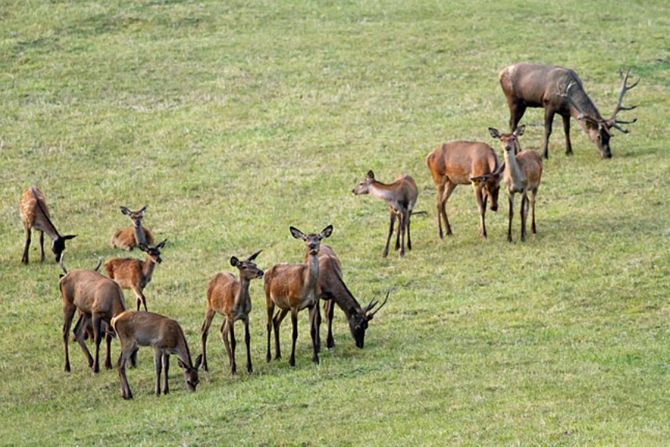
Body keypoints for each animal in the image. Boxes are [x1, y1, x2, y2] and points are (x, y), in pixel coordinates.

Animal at [266, 224, 334, 368]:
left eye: (319, 237)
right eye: (306, 238)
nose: (312, 246)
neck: (306, 285)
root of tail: (267, 270)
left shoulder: (312, 304)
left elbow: (312, 330)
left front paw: (315, 358)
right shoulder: (294, 305)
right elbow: (294, 333)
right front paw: (292, 361)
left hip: (284, 305)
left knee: (276, 320)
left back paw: (278, 355)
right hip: (269, 298)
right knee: (268, 323)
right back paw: (268, 357)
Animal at [498, 63, 640, 159]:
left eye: (610, 136)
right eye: (598, 136)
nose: (608, 154)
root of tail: (500, 73)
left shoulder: (565, 112)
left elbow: (567, 129)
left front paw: (569, 151)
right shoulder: (548, 105)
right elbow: (548, 130)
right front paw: (544, 154)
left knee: (513, 123)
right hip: (513, 100)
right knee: (512, 123)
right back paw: (518, 150)